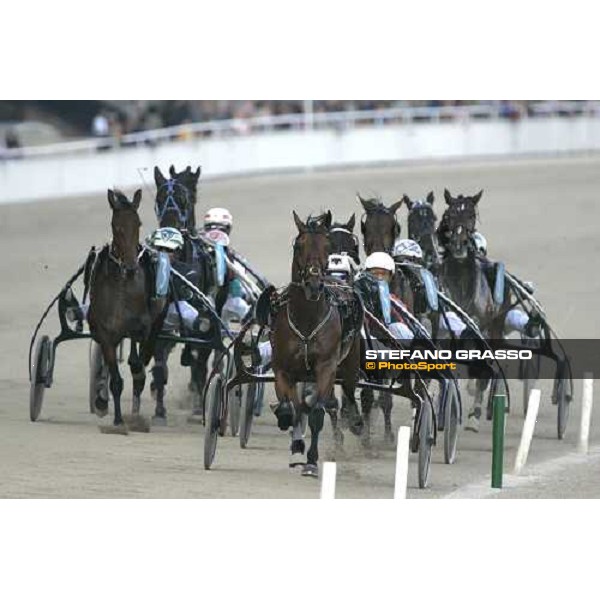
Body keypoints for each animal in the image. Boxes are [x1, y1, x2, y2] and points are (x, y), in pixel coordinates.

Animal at [87, 190, 166, 434]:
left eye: (138, 223)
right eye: (116, 226)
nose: (131, 267)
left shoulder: (141, 327)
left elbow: (138, 363)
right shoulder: (105, 332)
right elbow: (116, 379)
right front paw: (117, 419)